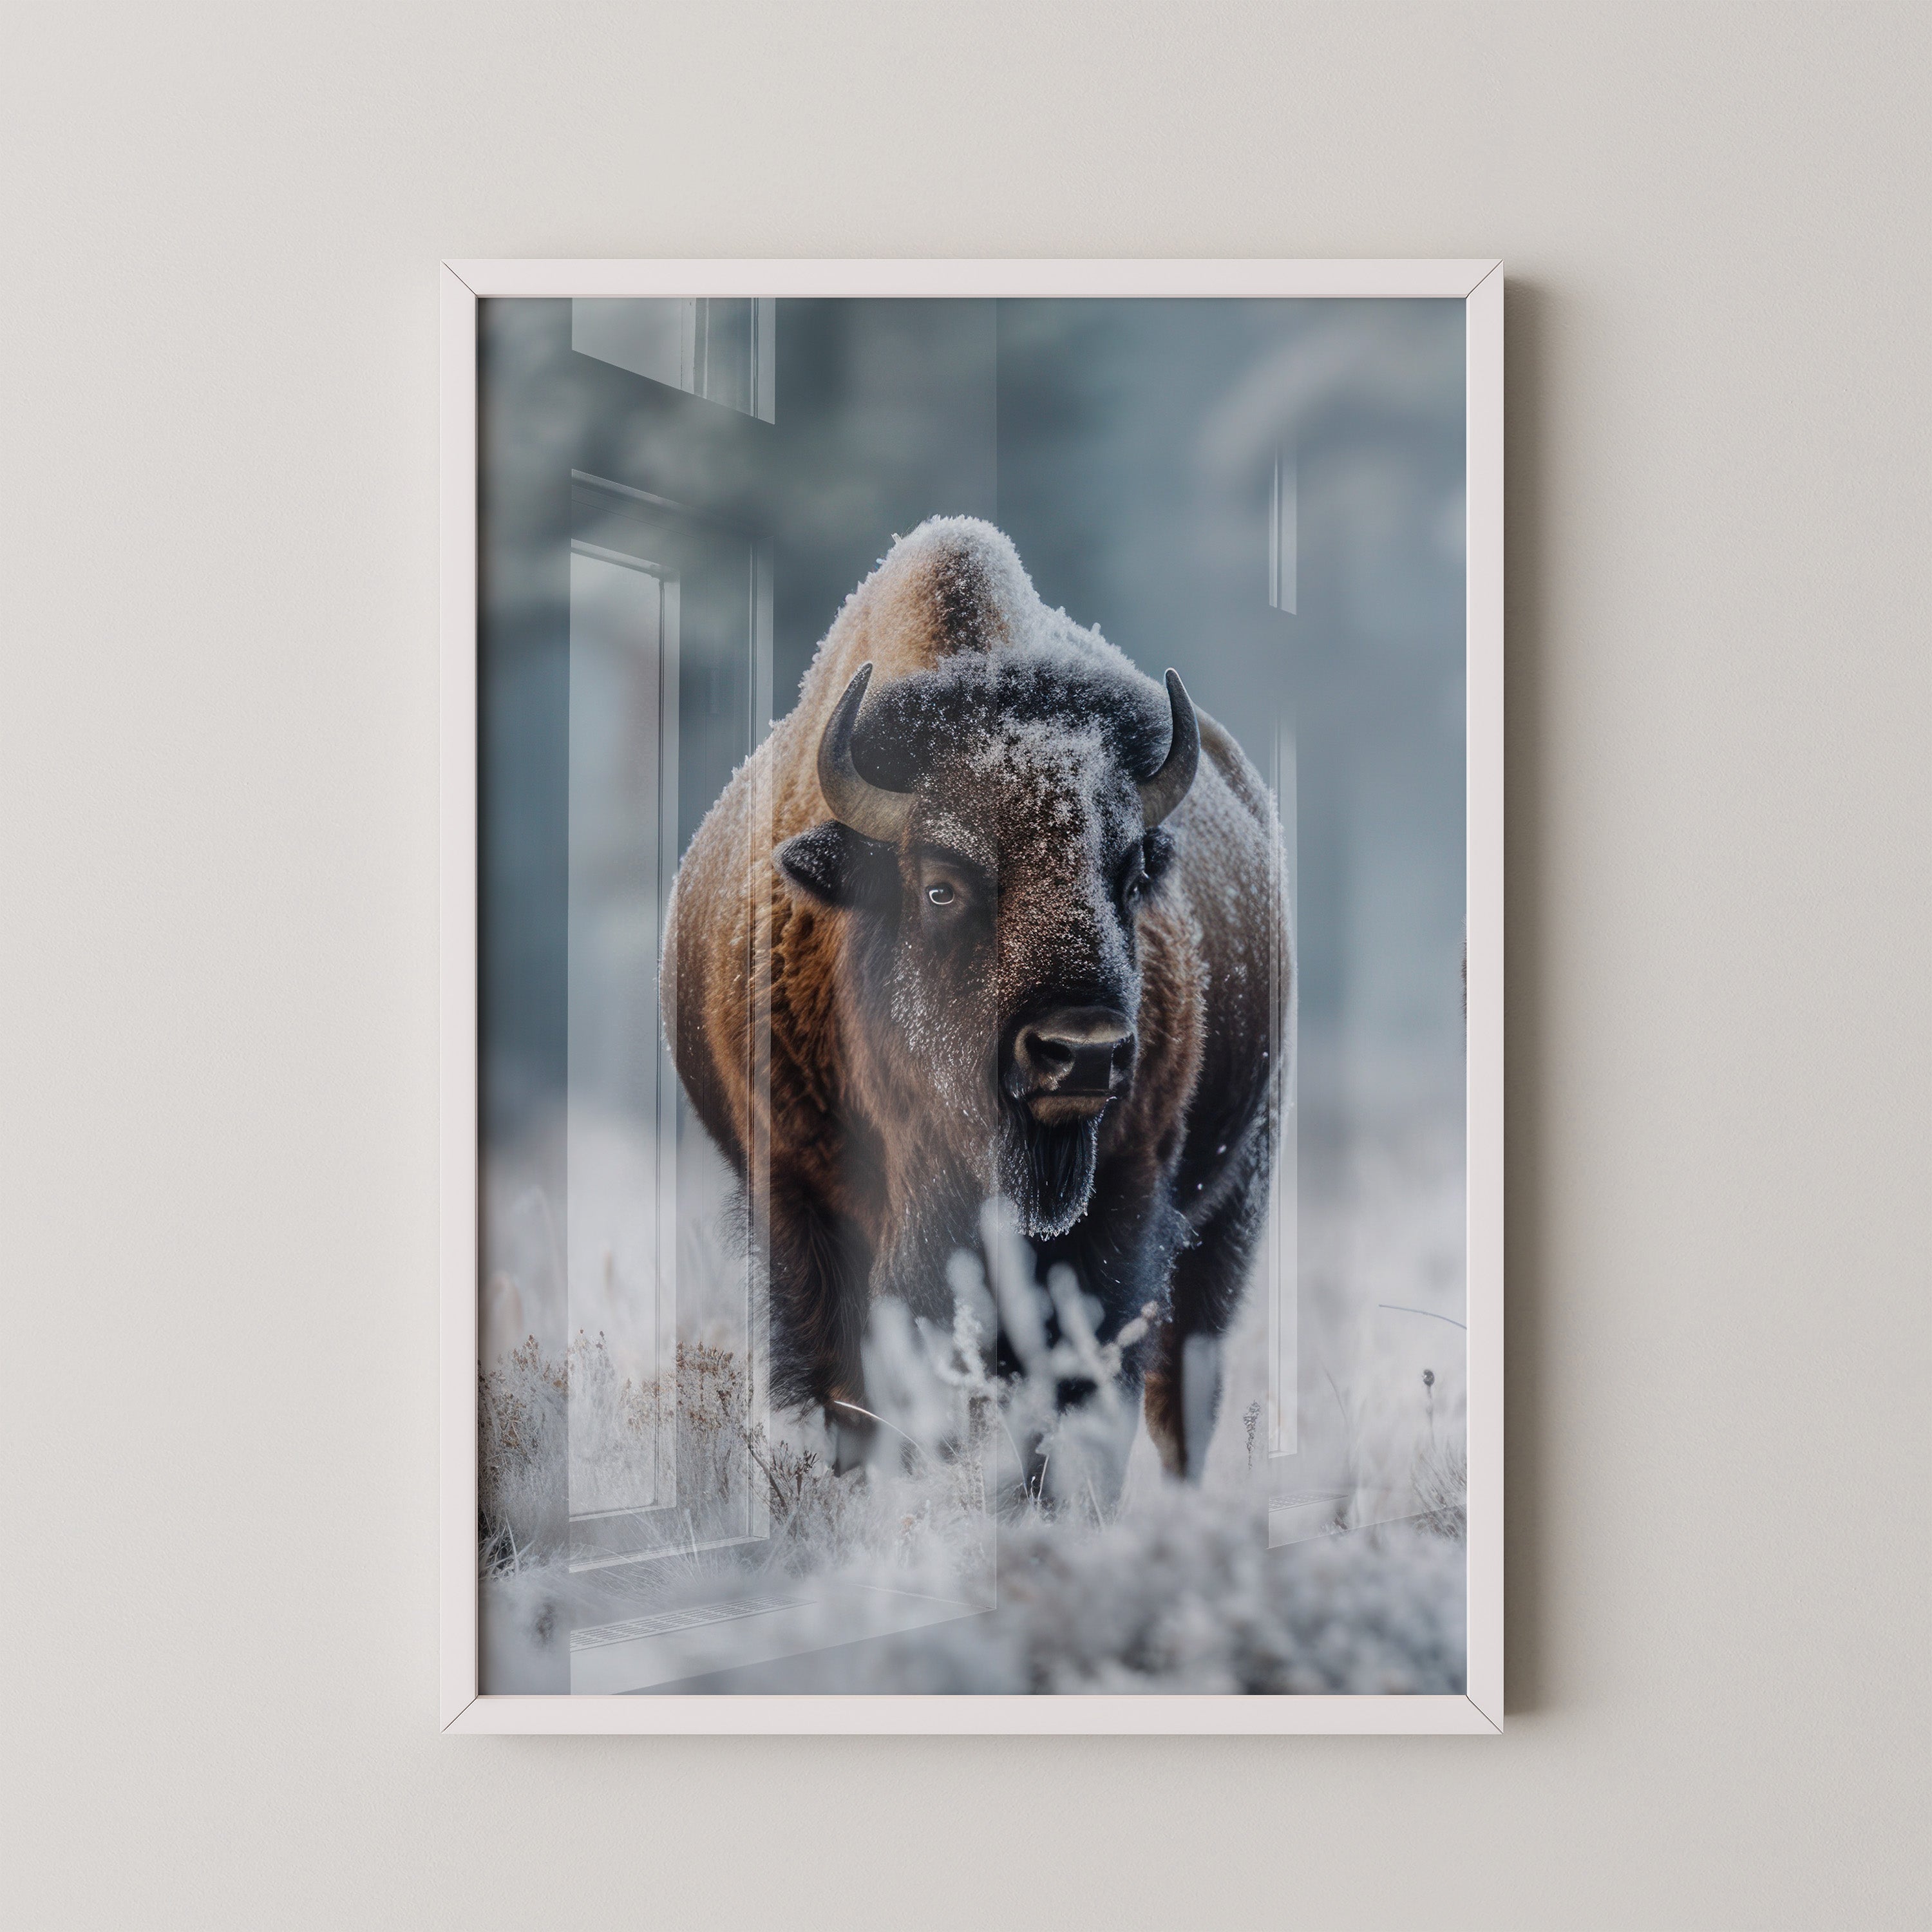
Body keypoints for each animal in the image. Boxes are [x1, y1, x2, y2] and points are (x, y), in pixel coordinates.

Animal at [663, 519, 1287, 1481]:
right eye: (942, 887)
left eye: (1130, 876)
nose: (1083, 1051)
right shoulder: (806, 1211)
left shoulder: (1122, 1211)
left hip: (1232, 1207)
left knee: (1180, 1400)